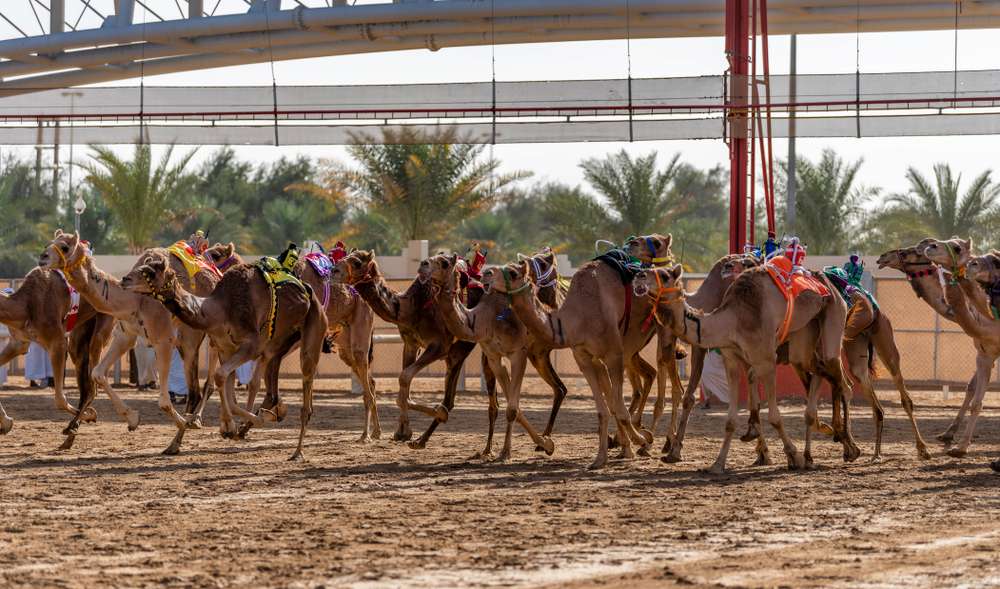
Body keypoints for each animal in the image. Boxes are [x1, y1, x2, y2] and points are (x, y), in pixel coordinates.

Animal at [0, 268, 114, 444]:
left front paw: (90, 415)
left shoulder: (57, 343)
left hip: (104, 321)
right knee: (85, 376)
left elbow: (60, 399)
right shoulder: (19, 343)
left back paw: (73, 426)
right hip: (80, 332)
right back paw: (74, 428)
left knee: (93, 383)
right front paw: (6, 423)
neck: (27, 303)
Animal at [121, 250, 327, 459]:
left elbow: (220, 377)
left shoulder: (251, 345)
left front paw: (236, 425)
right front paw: (236, 427)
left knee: (305, 389)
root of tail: (308, 292)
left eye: (150, 272)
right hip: (278, 344)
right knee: (264, 377)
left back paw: (297, 452)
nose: (124, 279)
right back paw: (273, 414)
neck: (219, 310)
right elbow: (225, 387)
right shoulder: (225, 349)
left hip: (313, 328)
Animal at [331, 250, 495, 449]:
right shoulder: (410, 343)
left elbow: (404, 377)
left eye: (356, 262)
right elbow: (404, 382)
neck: (409, 308)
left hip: (461, 347)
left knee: (451, 398)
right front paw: (402, 432)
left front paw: (421, 421)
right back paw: (423, 439)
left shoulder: (439, 345)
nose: (334, 270)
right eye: (346, 256)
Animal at [426, 252, 565, 460]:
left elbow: (512, 408)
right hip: (538, 353)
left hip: (539, 351)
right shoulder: (493, 357)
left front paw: (506, 452)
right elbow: (509, 405)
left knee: (564, 387)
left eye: (444, 262)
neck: (487, 317)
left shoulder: (518, 354)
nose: (424, 265)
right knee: (560, 388)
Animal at [632, 263, 862, 473]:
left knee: (843, 383)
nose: (638, 276)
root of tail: (833, 284)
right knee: (819, 372)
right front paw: (718, 464)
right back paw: (817, 450)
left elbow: (774, 416)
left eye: (664, 275)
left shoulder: (766, 360)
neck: (734, 319)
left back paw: (850, 448)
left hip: (834, 314)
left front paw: (793, 456)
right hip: (803, 341)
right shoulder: (731, 360)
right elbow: (731, 420)